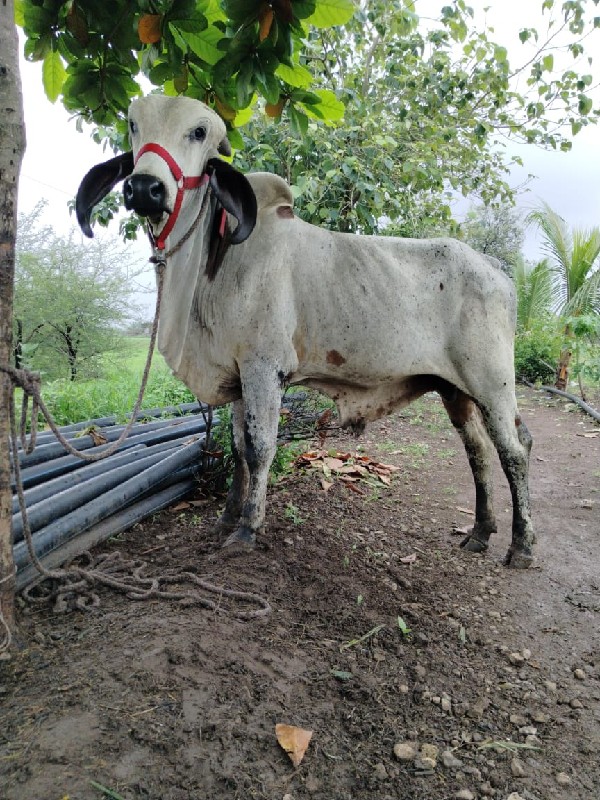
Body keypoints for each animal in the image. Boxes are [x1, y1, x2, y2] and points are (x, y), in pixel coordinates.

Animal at [75, 95, 534, 568]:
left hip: (493, 384)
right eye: (133, 126)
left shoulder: (264, 368)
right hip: (454, 390)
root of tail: (492, 267)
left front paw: (247, 528)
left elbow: (259, 449)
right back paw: (480, 532)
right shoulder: (239, 375)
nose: (144, 188)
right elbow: (237, 448)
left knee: (514, 451)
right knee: (478, 451)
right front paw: (226, 518)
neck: (214, 263)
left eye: (199, 132)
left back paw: (520, 545)